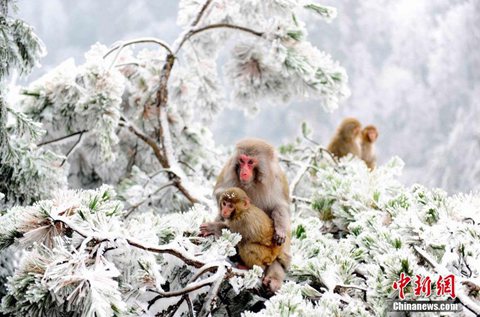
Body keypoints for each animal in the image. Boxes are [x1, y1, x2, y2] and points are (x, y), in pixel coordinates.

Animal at [200, 138, 292, 292]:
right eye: (242, 160)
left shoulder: (277, 181)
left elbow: (280, 207)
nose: (244, 171)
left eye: (251, 162)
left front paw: (280, 230)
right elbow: (221, 194)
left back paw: (273, 277)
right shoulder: (228, 174)